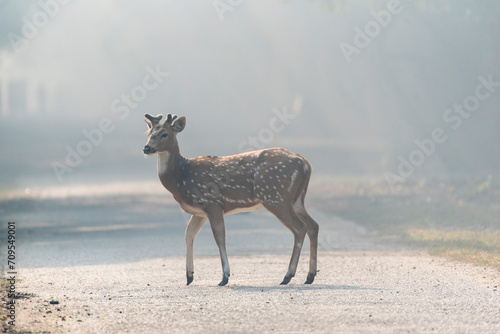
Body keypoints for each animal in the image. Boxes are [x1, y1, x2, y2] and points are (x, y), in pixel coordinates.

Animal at [143, 113, 318, 286]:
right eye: (149, 133)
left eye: (165, 134)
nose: (146, 148)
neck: (182, 177)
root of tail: (306, 164)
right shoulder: (200, 212)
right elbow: (189, 234)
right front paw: (189, 276)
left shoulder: (212, 203)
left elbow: (219, 237)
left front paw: (224, 277)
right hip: (295, 200)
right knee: (313, 226)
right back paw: (309, 276)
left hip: (275, 196)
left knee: (299, 228)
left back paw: (288, 276)